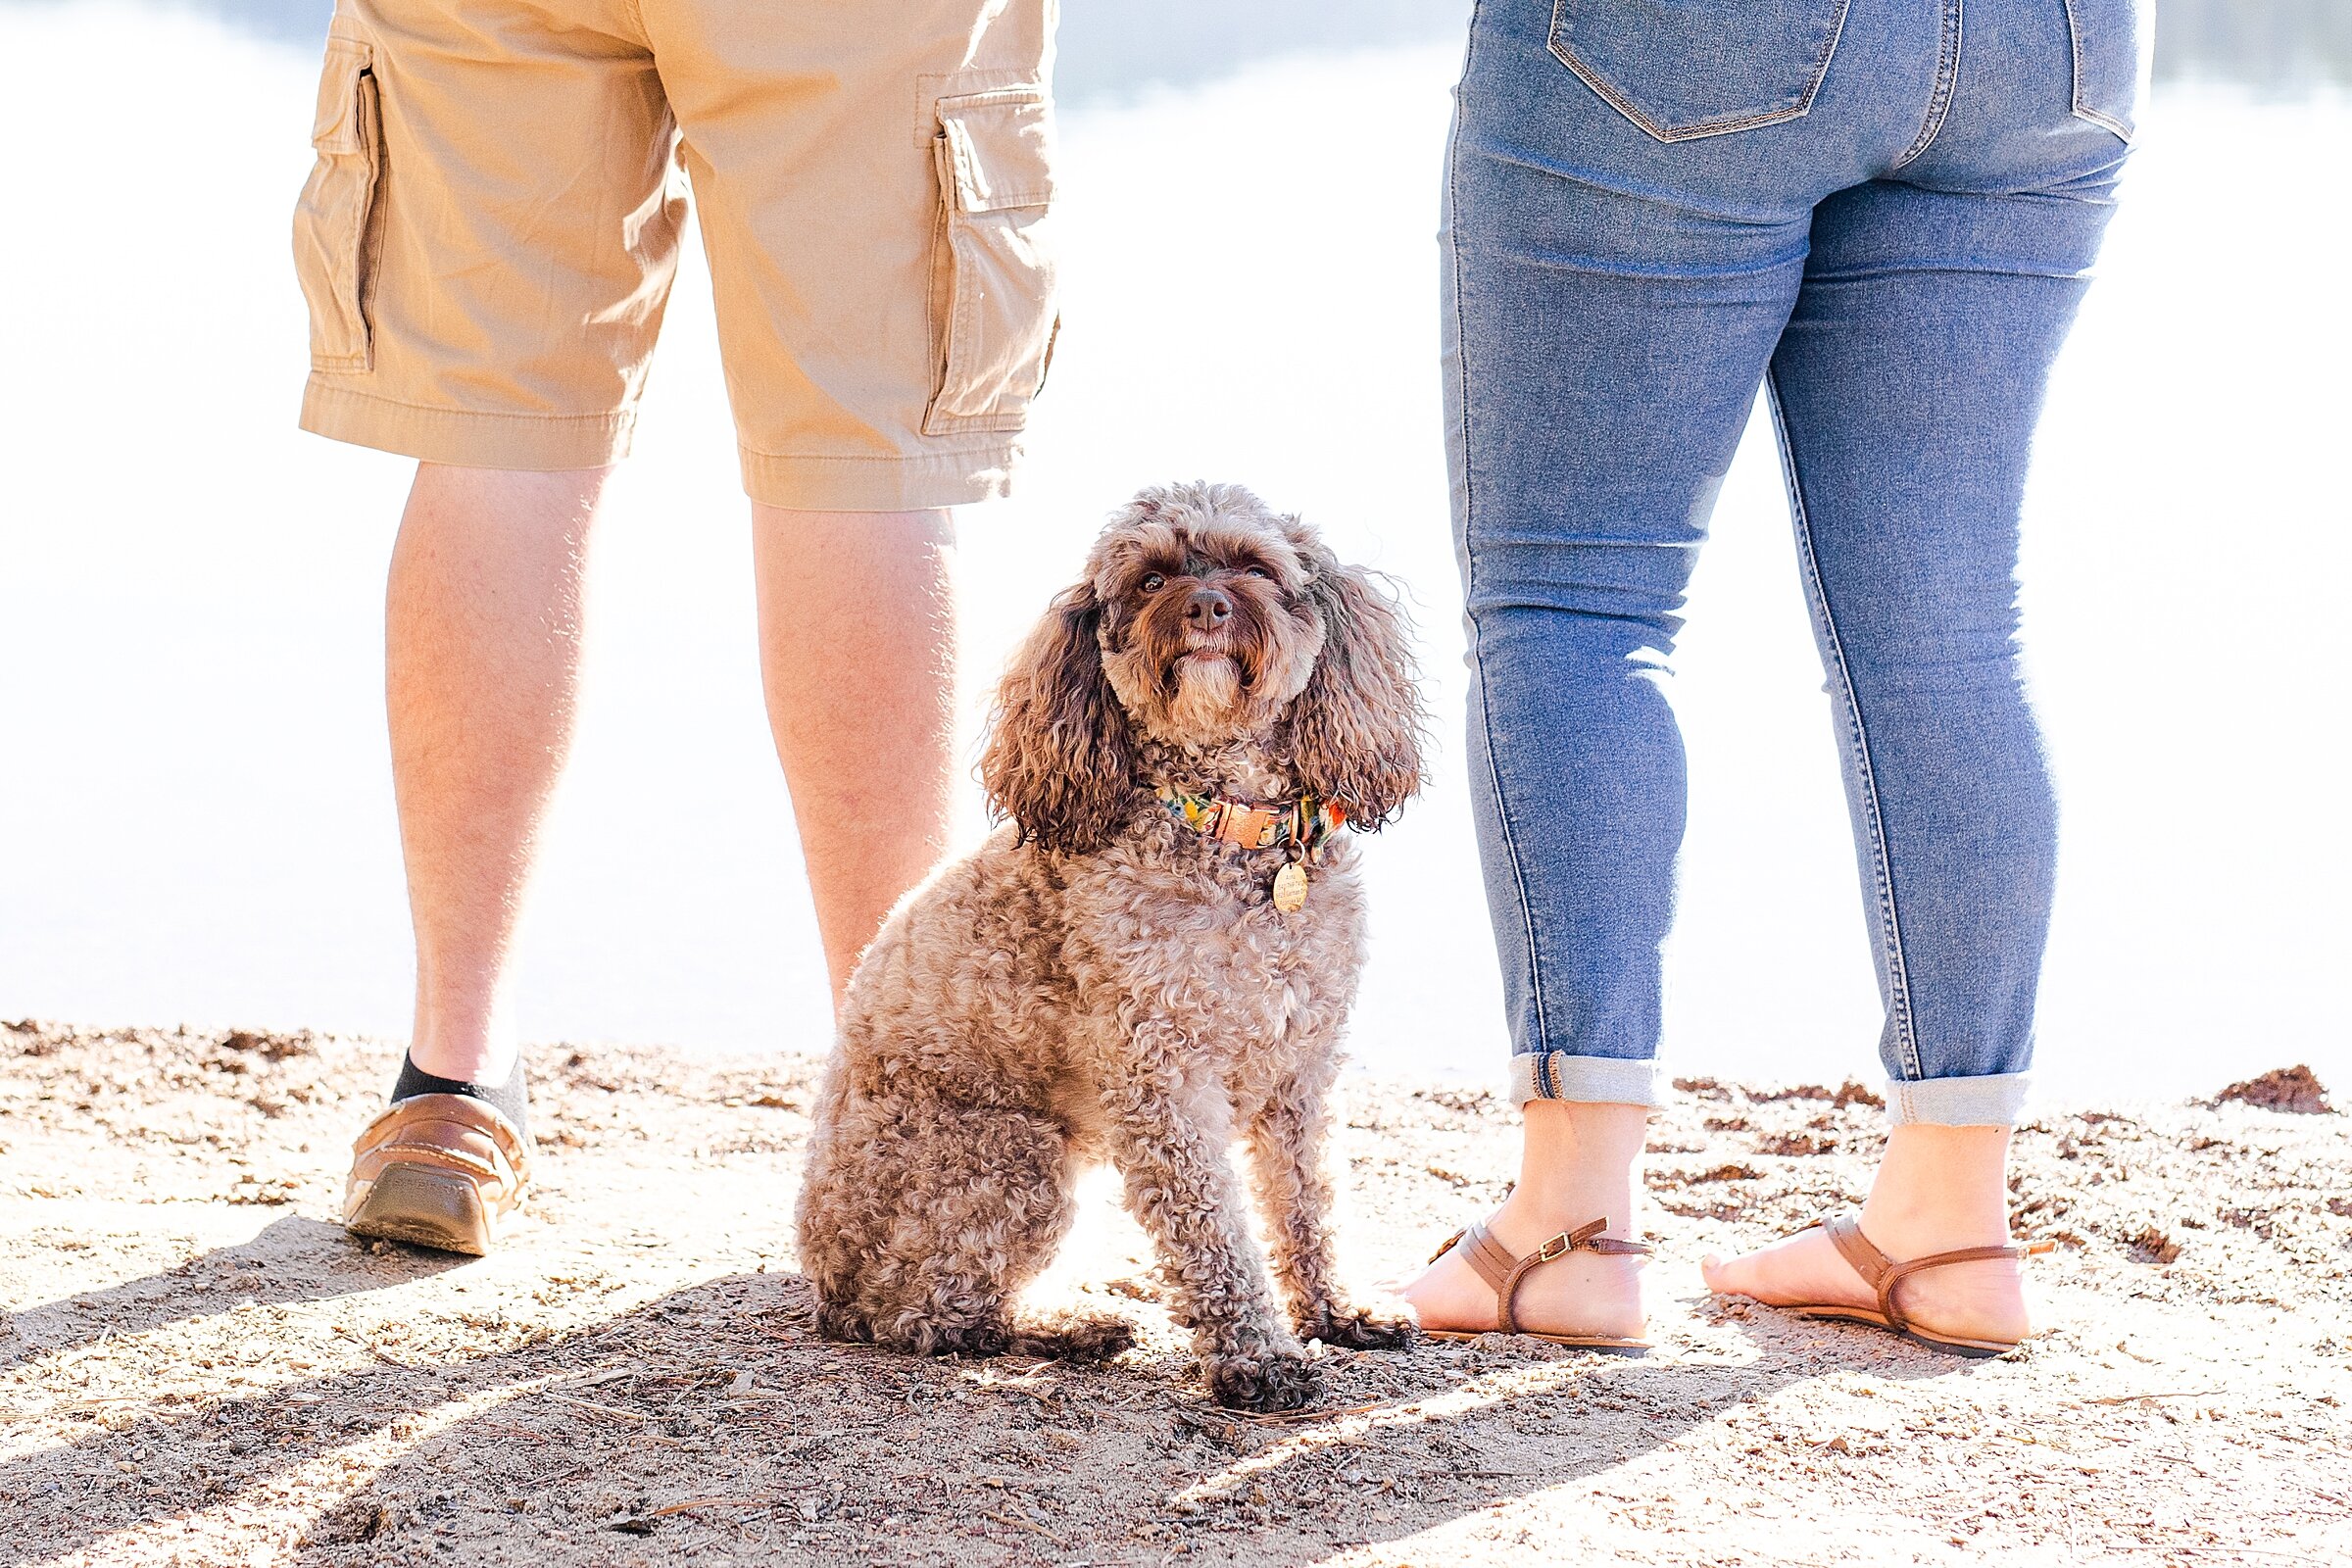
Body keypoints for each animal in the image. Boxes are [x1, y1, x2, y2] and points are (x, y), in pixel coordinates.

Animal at [790, 479, 1420, 1410]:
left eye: (1254, 566)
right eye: (1151, 579)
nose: (1206, 604)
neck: (1229, 831)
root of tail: (823, 1278)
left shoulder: (1299, 1071)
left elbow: (1309, 1202)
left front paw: (1338, 1309)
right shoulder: (1161, 1080)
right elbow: (1213, 1231)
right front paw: (1257, 1355)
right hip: (1011, 1157)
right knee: (926, 1316)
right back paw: (1066, 1325)